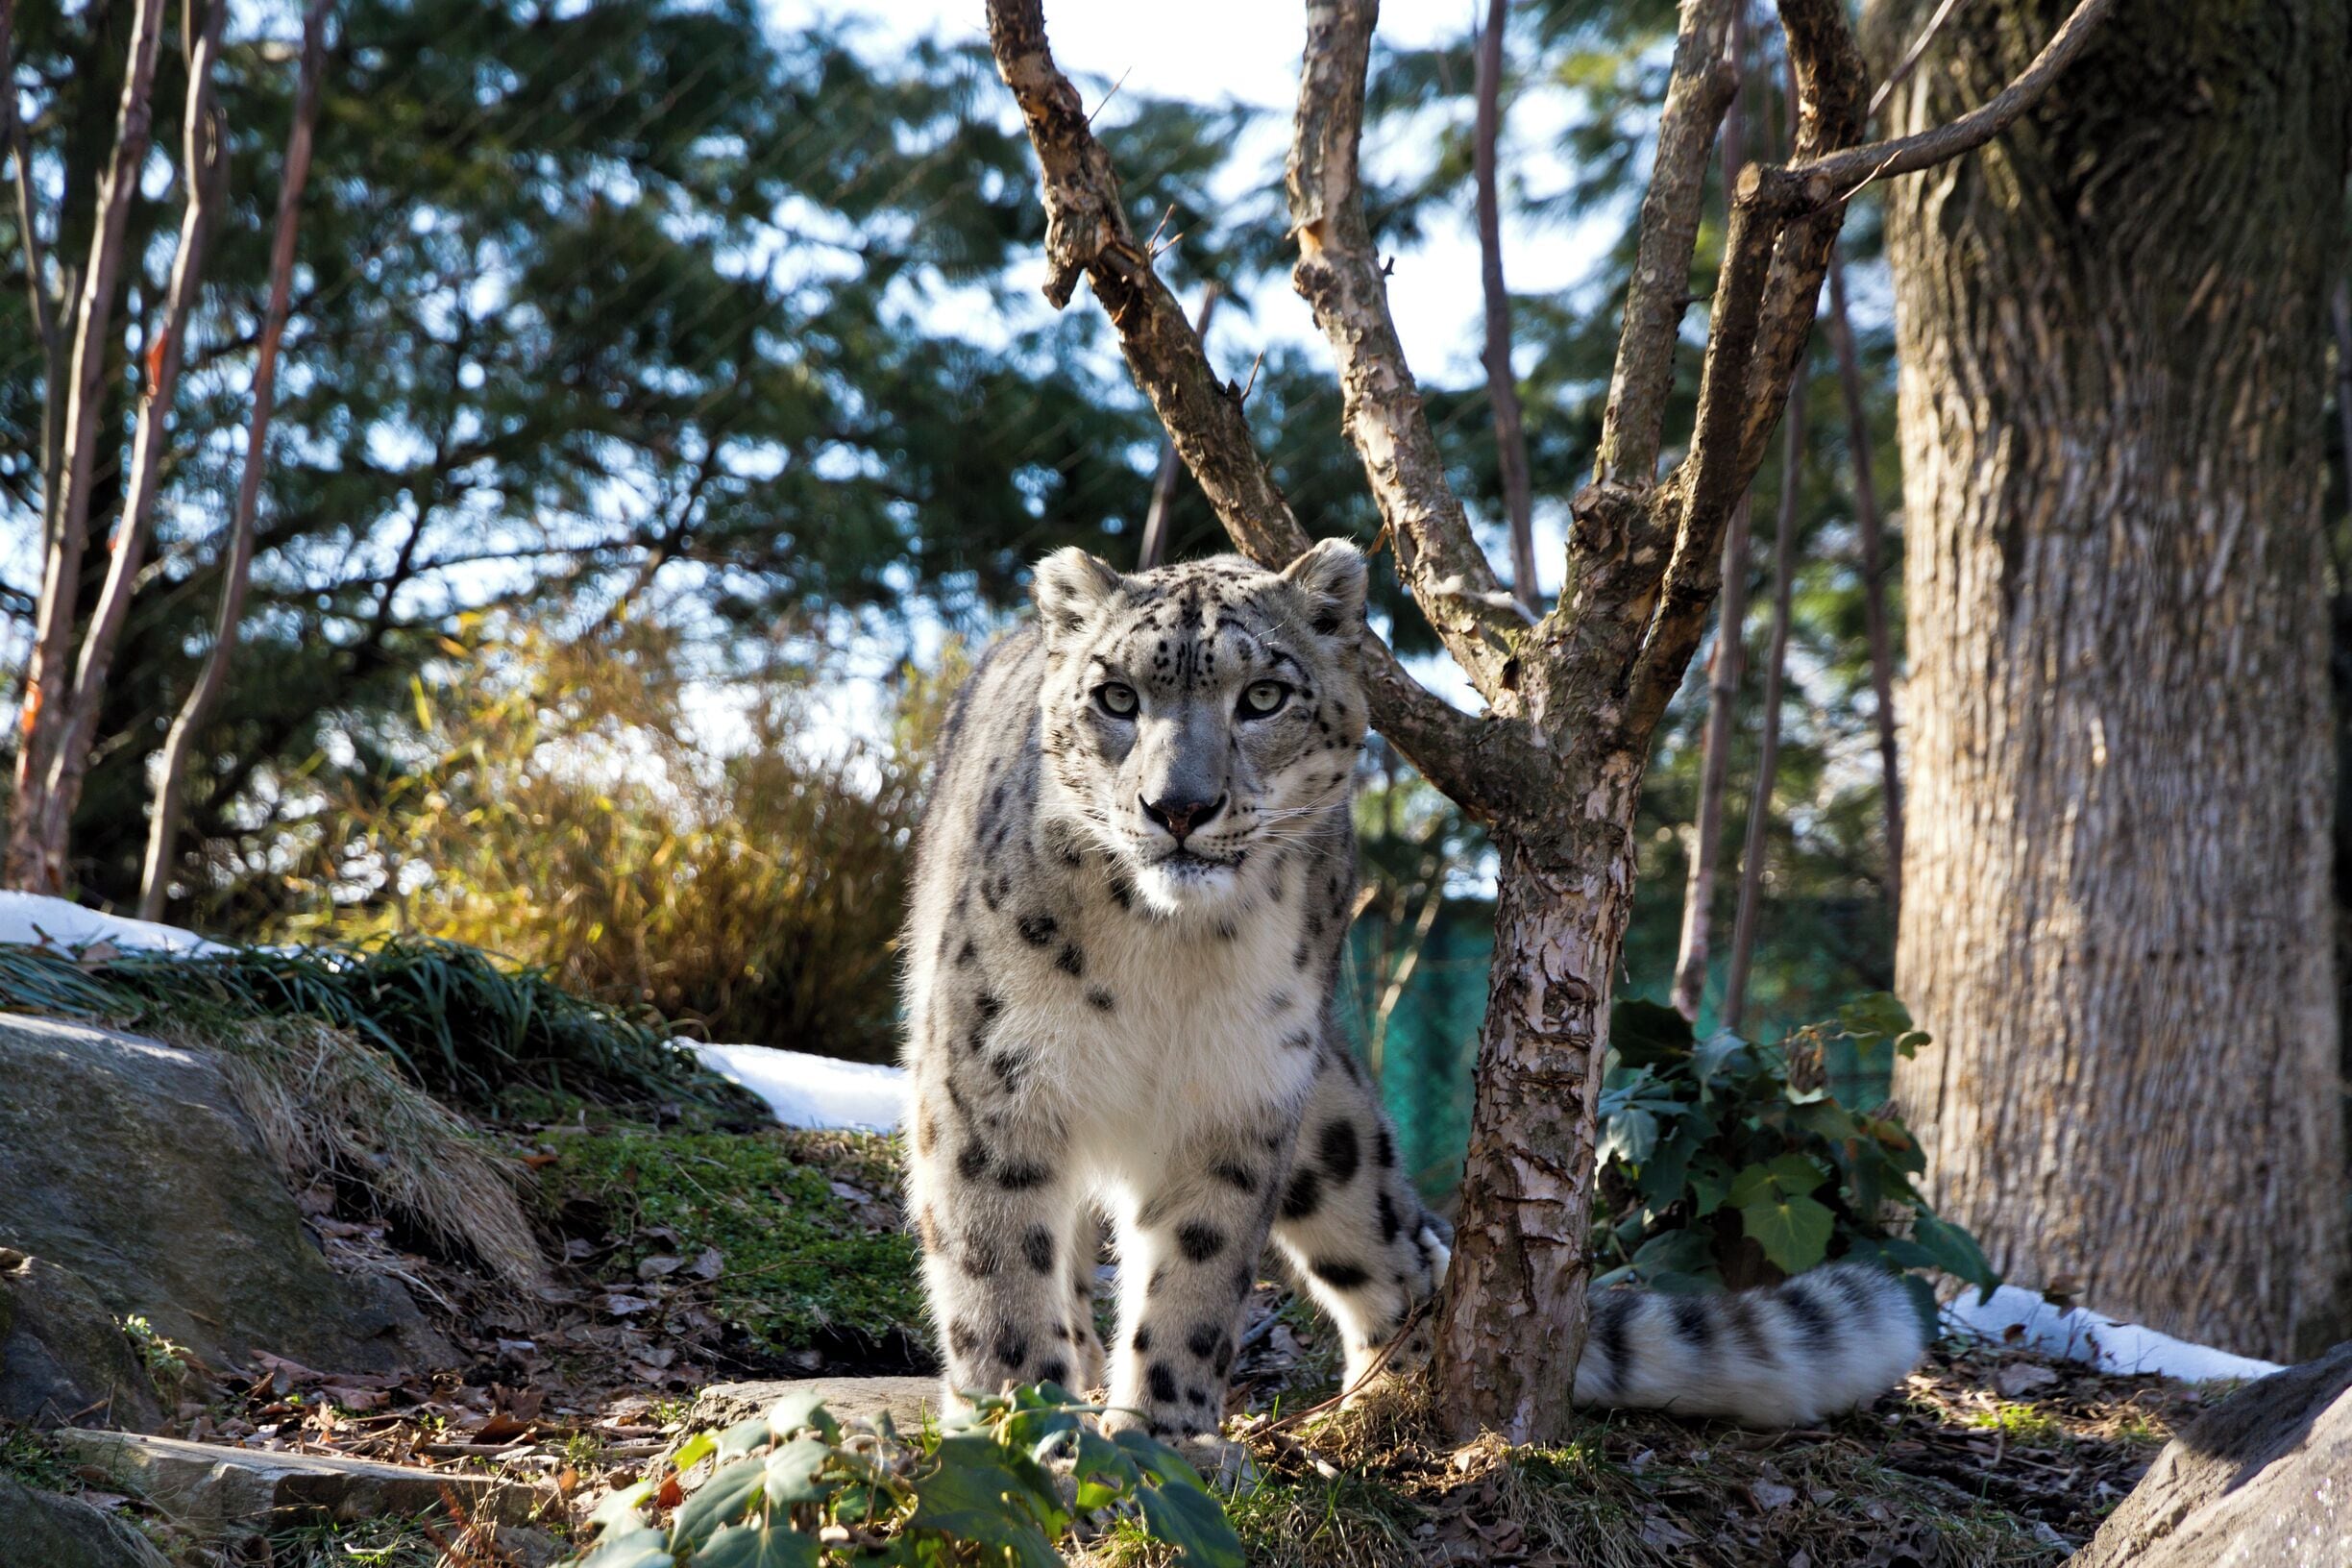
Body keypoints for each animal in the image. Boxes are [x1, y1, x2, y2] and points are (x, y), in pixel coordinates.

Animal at [899, 539, 1928, 1447]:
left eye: (1262, 695)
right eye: (1117, 696)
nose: (1178, 808)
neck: (1167, 959)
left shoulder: (1238, 1100)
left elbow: (1195, 1273)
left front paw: (1167, 1440)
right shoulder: (990, 1081)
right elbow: (998, 1269)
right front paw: (1025, 1435)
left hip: (1327, 1122)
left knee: (1390, 1253)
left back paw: (1383, 1405)